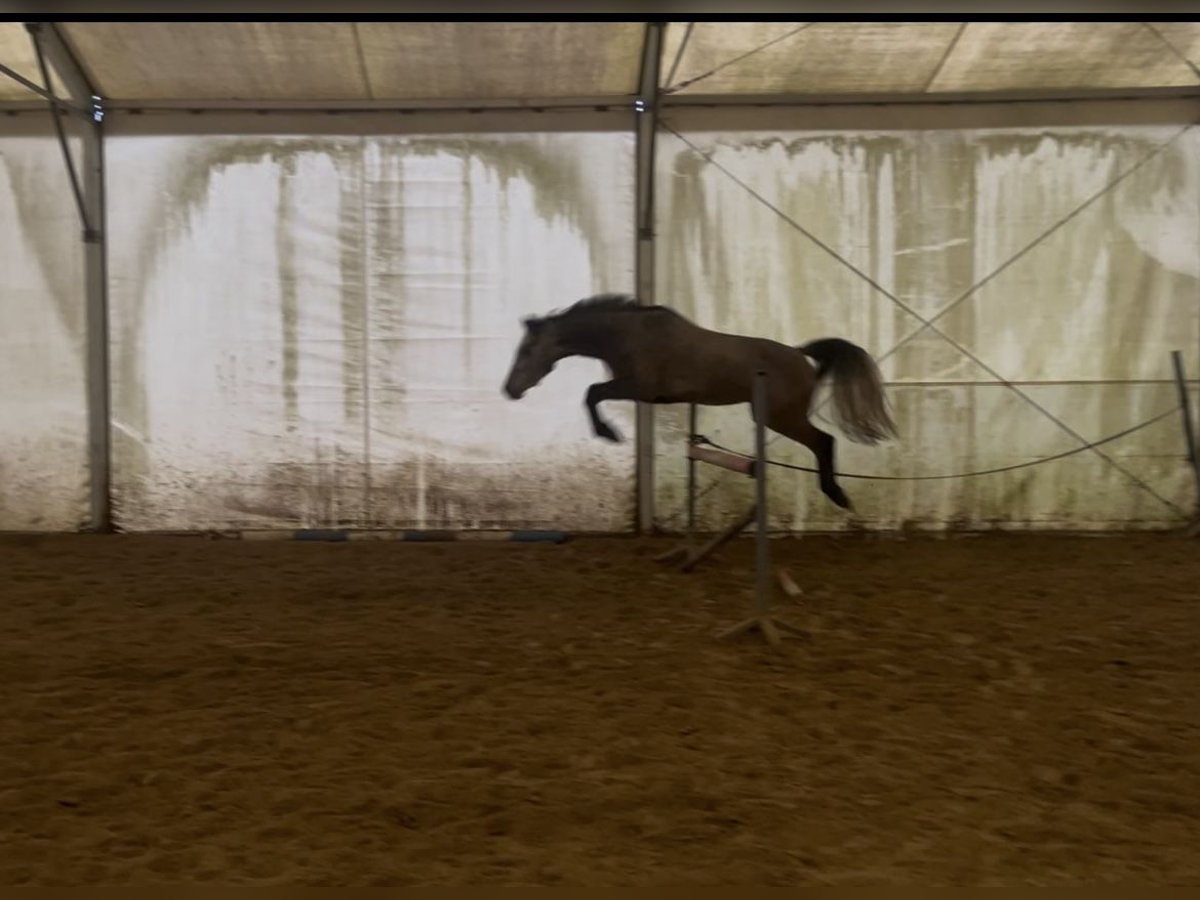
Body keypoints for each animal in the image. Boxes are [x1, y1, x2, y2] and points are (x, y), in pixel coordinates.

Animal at [501, 294, 896, 510]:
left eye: (527, 350)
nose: (510, 390)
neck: (627, 335)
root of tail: (801, 356)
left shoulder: (639, 388)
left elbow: (593, 392)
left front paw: (609, 434)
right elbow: (593, 393)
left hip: (778, 417)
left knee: (824, 441)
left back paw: (837, 495)